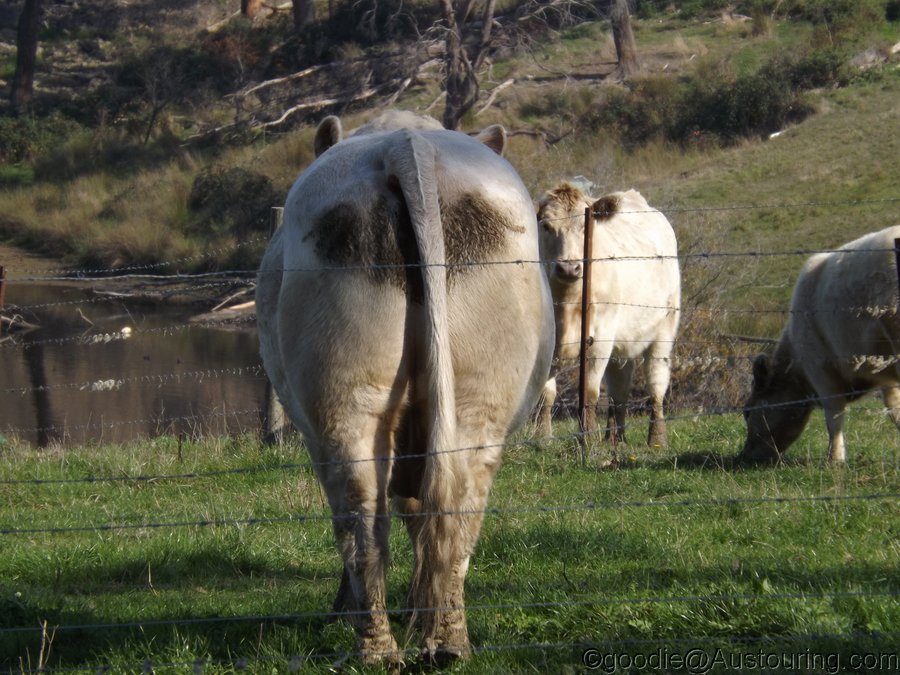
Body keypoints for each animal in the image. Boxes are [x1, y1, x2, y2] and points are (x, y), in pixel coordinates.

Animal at [255, 111, 556, 664]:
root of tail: (406, 143)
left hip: (344, 401)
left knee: (360, 516)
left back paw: (373, 647)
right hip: (480, 397)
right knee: (457, 508)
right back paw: (447, 642)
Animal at [536, 182, 684, 446]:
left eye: (585, 226)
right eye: (546, 226)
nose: (569, 268)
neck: (566, 303)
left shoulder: (600, 338)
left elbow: (590, 392)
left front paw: (589, 439)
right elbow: (547, 393)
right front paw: (543, 439)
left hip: (665, 327)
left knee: (656, 381)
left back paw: (656, 439)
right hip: (622, 340)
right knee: (620, 388)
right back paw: (616, 438)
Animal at [740, 227, 900, 464]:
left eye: (748, 411)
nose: (744, 455)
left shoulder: (821, 369)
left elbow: (834, 416)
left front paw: (834, 459)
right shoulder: (885, 371)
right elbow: (893, 405)